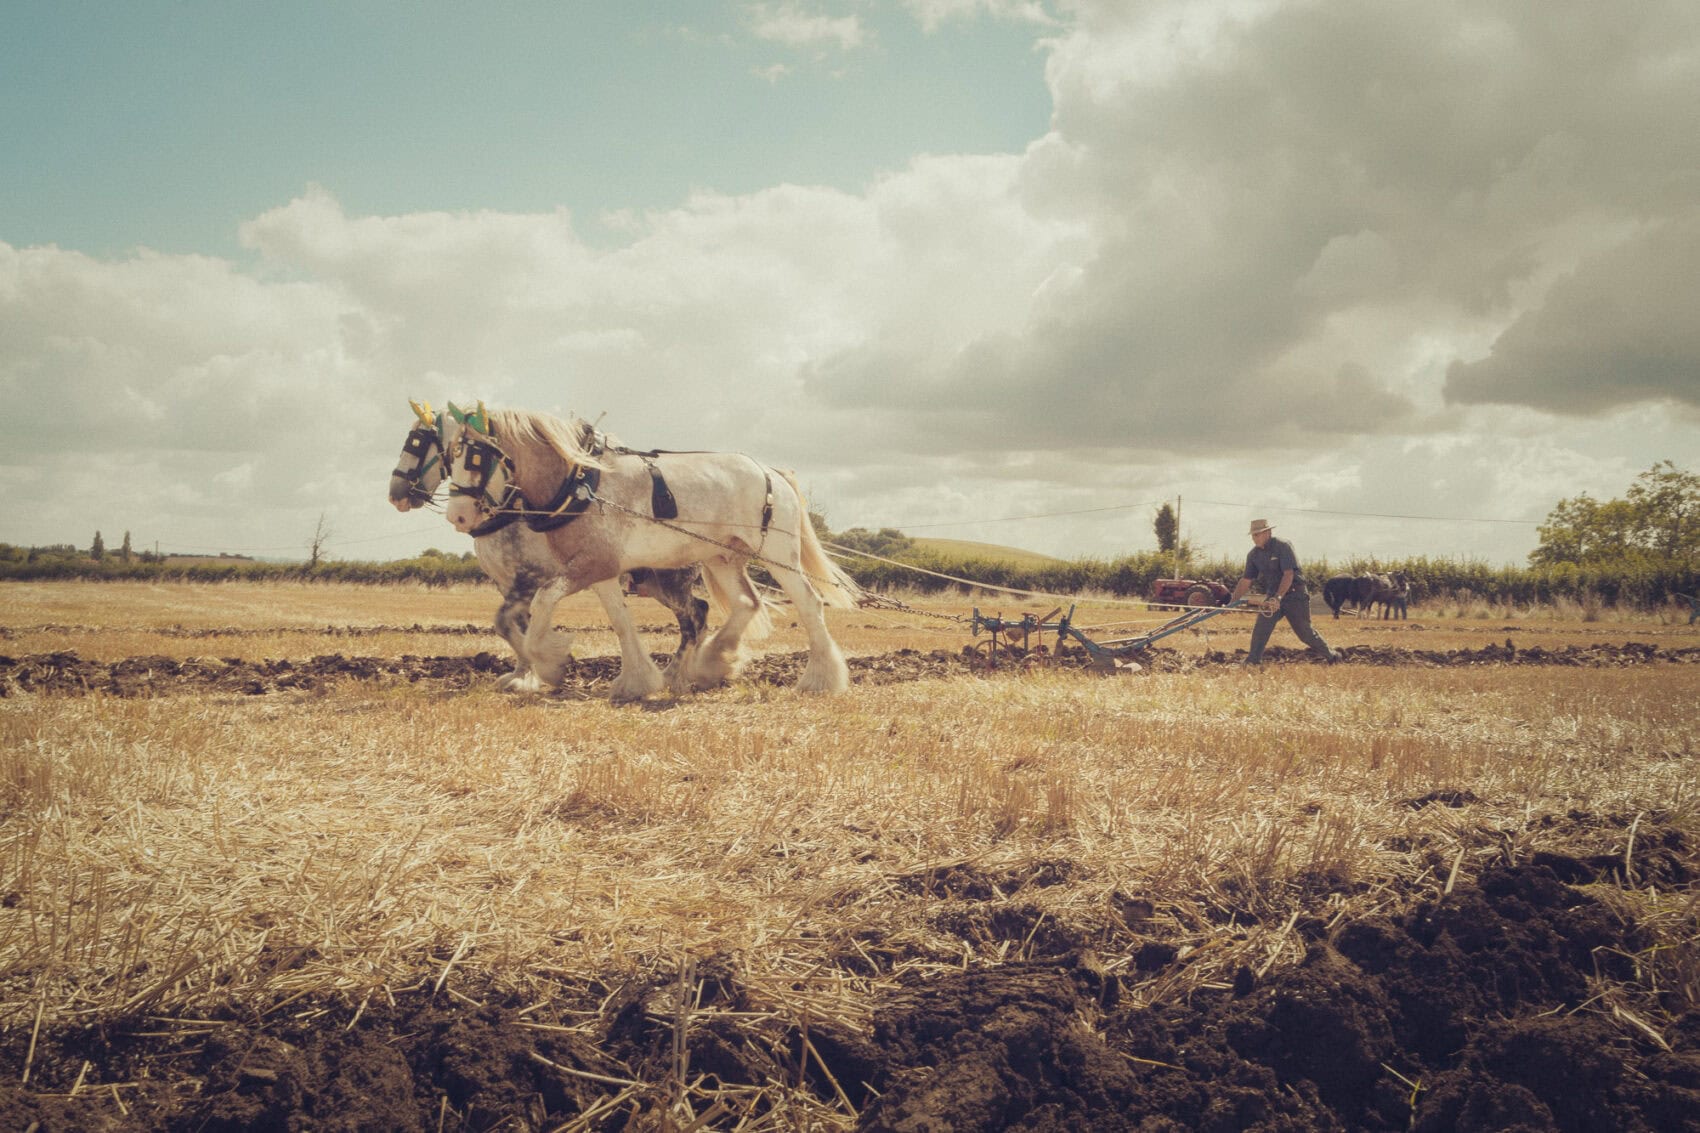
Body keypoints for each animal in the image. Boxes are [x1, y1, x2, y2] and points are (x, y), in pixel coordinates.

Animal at [389, 401, 708, 695]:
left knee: (692, 619)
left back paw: (678, 675)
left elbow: (506, 622)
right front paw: (524, 673)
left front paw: (547, 668)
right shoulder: (509, 583)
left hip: (669, 580)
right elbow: (516, 626)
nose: (395, 494)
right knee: (699, 613)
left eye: (416, 441)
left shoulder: (531, 578)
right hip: (652, 583)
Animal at [440, 402, 861, 694]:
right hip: (721, 556)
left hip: (777, 552)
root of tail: (772, 471)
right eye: (448, 457)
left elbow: (544, 602)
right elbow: (620, 621)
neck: (581, 482)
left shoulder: (586, 566)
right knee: (744, 603)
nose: (457, 516)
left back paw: (820, 679)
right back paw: (712, 662)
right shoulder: (600, 569)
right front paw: (637, 681)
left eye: (475, 456)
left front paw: (551, 661)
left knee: (808, 603)